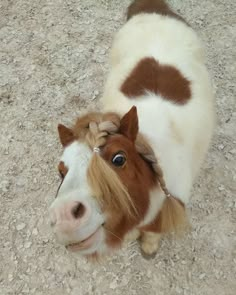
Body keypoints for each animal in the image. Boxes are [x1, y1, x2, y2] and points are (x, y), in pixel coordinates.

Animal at [49, 0, 214, 260]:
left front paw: (148, 248)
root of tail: (153, 7)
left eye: (119, 159)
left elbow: (153, 231)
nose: (64, 217)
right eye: (61, 171)